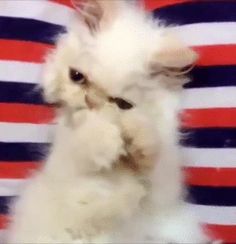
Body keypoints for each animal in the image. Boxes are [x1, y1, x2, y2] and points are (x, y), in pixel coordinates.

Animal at [6, 0, 212, 243]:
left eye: (121, 103)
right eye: (77, 77)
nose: (91, 102)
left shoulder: (164, 188)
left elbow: (156, 154)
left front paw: (136, 135)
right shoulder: (65, 169)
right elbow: (83, 146)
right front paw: (107, 141)